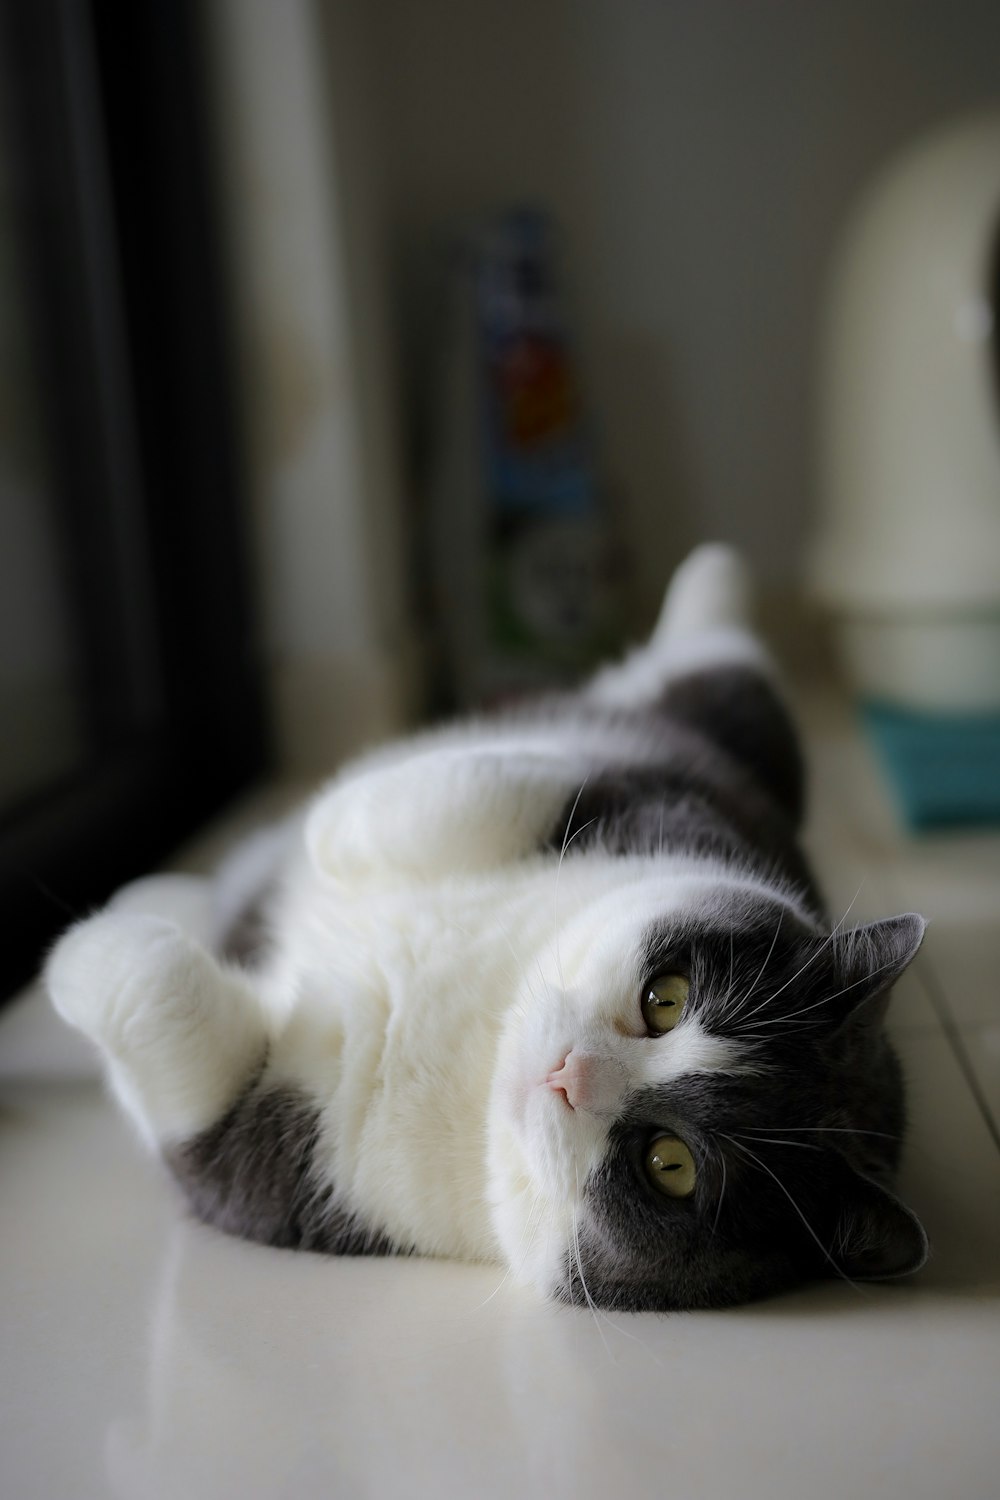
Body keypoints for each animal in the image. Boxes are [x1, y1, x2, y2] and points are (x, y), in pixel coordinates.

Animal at [43, 546, 929, 1308]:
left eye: (669, 1164)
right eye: (667, 999)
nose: (570, 1073)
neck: (482, 1033)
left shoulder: (270, 1173)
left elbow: (168, 1018)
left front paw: (76, 955)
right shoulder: (643, 800)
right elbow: (476, 792)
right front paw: (333, 835)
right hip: (711, 740)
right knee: (720, 672)